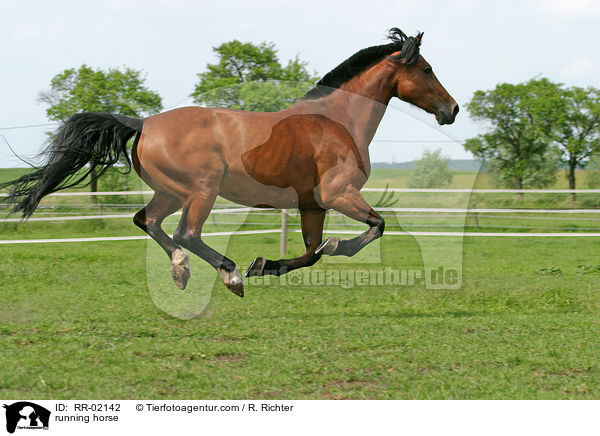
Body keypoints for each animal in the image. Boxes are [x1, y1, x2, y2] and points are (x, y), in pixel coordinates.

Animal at [1, 27, 460, 296]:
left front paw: (265, 265)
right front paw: (325, 248)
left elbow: (311, 252)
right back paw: (228, 275)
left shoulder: (312, 204)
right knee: (185, 233)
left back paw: (183, 272)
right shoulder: (338, 194)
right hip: (201, 190)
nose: (451, 109)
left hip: (171, 192)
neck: (336, 121)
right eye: (426, 68)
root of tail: (143, 123)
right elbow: (373, 228)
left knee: (147, 221)